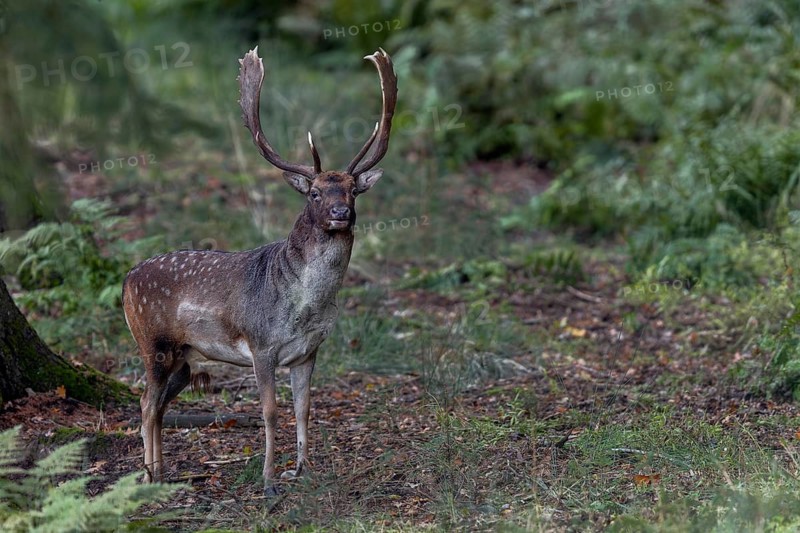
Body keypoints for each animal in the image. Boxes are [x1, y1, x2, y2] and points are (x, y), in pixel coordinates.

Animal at [122, 46, 397, 496]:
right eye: (315, 192)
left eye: (353, 190)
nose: (341, 213)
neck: (304, 308)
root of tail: (126, 280)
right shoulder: (262, 345)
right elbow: (269, 411)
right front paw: (268, 479)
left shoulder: (309, 351)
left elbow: (304, 409)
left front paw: (304, 469)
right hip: (153, 342)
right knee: (145, 402)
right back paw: (148, 476)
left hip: (185, 358)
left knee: (157, 404)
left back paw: (160, 473)